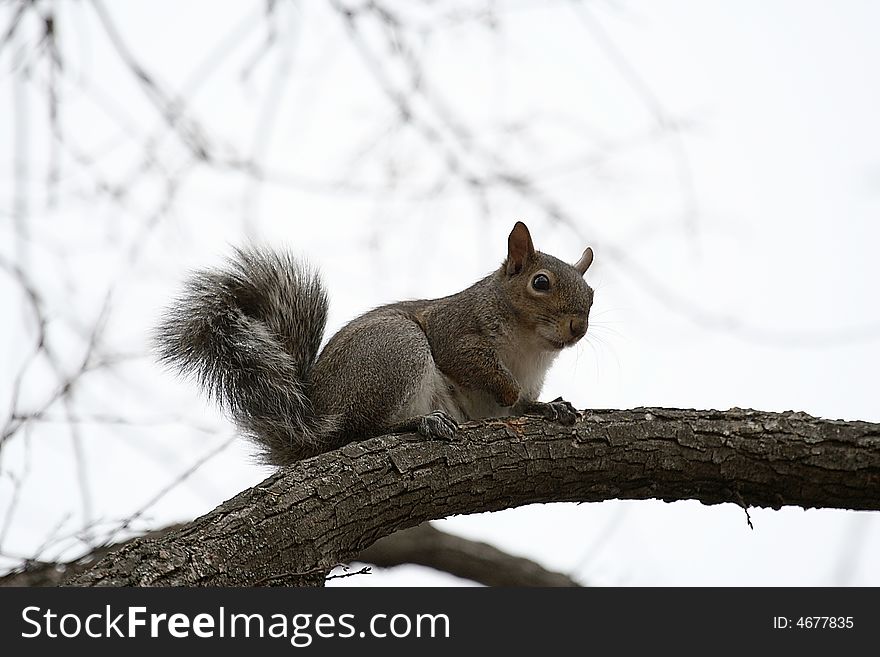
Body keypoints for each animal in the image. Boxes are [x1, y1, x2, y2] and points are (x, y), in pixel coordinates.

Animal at [156, 222, 600, 466]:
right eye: (540, 283)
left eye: (592, 294)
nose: (578, 327)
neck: (530, 347)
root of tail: (319, 424)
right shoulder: (454, 330)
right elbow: (472, 364)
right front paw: (507, 390)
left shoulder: (533, 377)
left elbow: (524, 405)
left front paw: (551, 407)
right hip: (397, 349)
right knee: (363, 430)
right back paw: (420, 422)